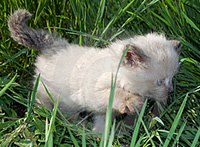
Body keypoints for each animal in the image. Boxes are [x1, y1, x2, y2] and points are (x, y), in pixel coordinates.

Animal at [8, 9, 182, 133]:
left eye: (173, 77)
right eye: (159, 81)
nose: (171, 91)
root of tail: (54, 45)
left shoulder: (102, 110)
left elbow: (104, 122)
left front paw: (102, 135)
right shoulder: (93, 92)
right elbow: (115, 94)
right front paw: (130, 101)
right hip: (48, 92)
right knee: (44, 102)